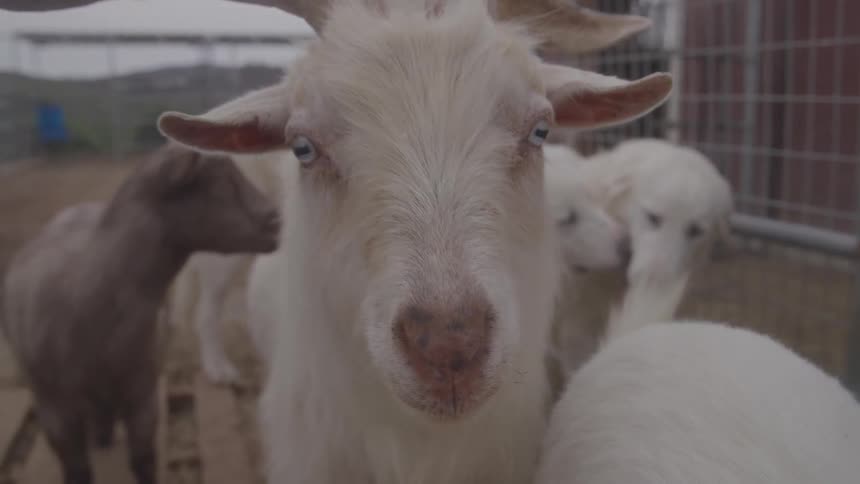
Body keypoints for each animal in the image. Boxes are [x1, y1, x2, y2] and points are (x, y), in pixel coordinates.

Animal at [1, 145, 280, 484]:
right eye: (219, 182)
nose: (278, 219)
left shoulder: (144, 392)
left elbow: (144, 459)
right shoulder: (54, 408)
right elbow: (78, 469)